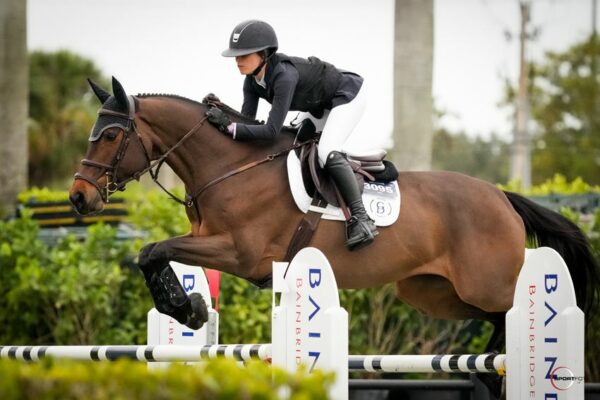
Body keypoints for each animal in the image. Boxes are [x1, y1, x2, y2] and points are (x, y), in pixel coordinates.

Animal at [69, 76, 596, 368]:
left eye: (110, 135)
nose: (78, 197)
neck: (230, 166)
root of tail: (502, 197)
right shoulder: (209, 243)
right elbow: (153, 253)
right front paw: (191, 307)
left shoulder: (239, 253)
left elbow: (152, 249)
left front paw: (188, 308)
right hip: (433, 292)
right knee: (494, 320)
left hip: (487, 283)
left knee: (517, 310)